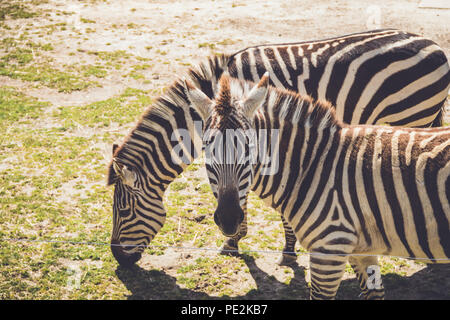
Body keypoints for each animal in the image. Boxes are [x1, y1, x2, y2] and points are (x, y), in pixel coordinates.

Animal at [184, 72, 450, 300]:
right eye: (206, 148)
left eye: (250, 147)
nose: (229, 219)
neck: (311, 167)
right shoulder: (360, 248)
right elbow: (373, 292)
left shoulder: (329, 248)